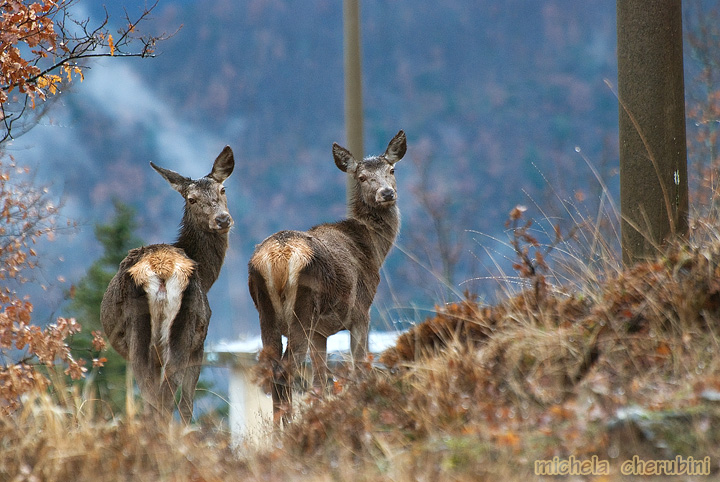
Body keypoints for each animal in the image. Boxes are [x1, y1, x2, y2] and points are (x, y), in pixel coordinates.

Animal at [100, 147, 235, 422]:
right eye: (191, 199)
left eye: (223, 189)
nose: (222, 219)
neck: (207, 276)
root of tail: (162, 272)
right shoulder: (200, 343)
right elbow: (186, 402)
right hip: (182, 326)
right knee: (166, 399)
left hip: (144, 337)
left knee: (155, 398)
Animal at [248, 130, 404, 424]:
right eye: (361, 177)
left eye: (391, 170)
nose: (387, 193)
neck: (373, 249)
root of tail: (277, 258)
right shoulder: (361, 311)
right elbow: (358, 370)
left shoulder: (320, 333)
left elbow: (322, 380)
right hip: (302, 310)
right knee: (286, 369)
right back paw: (288, 426)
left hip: (266, 313)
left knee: (274, 370)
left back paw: (278, 429)